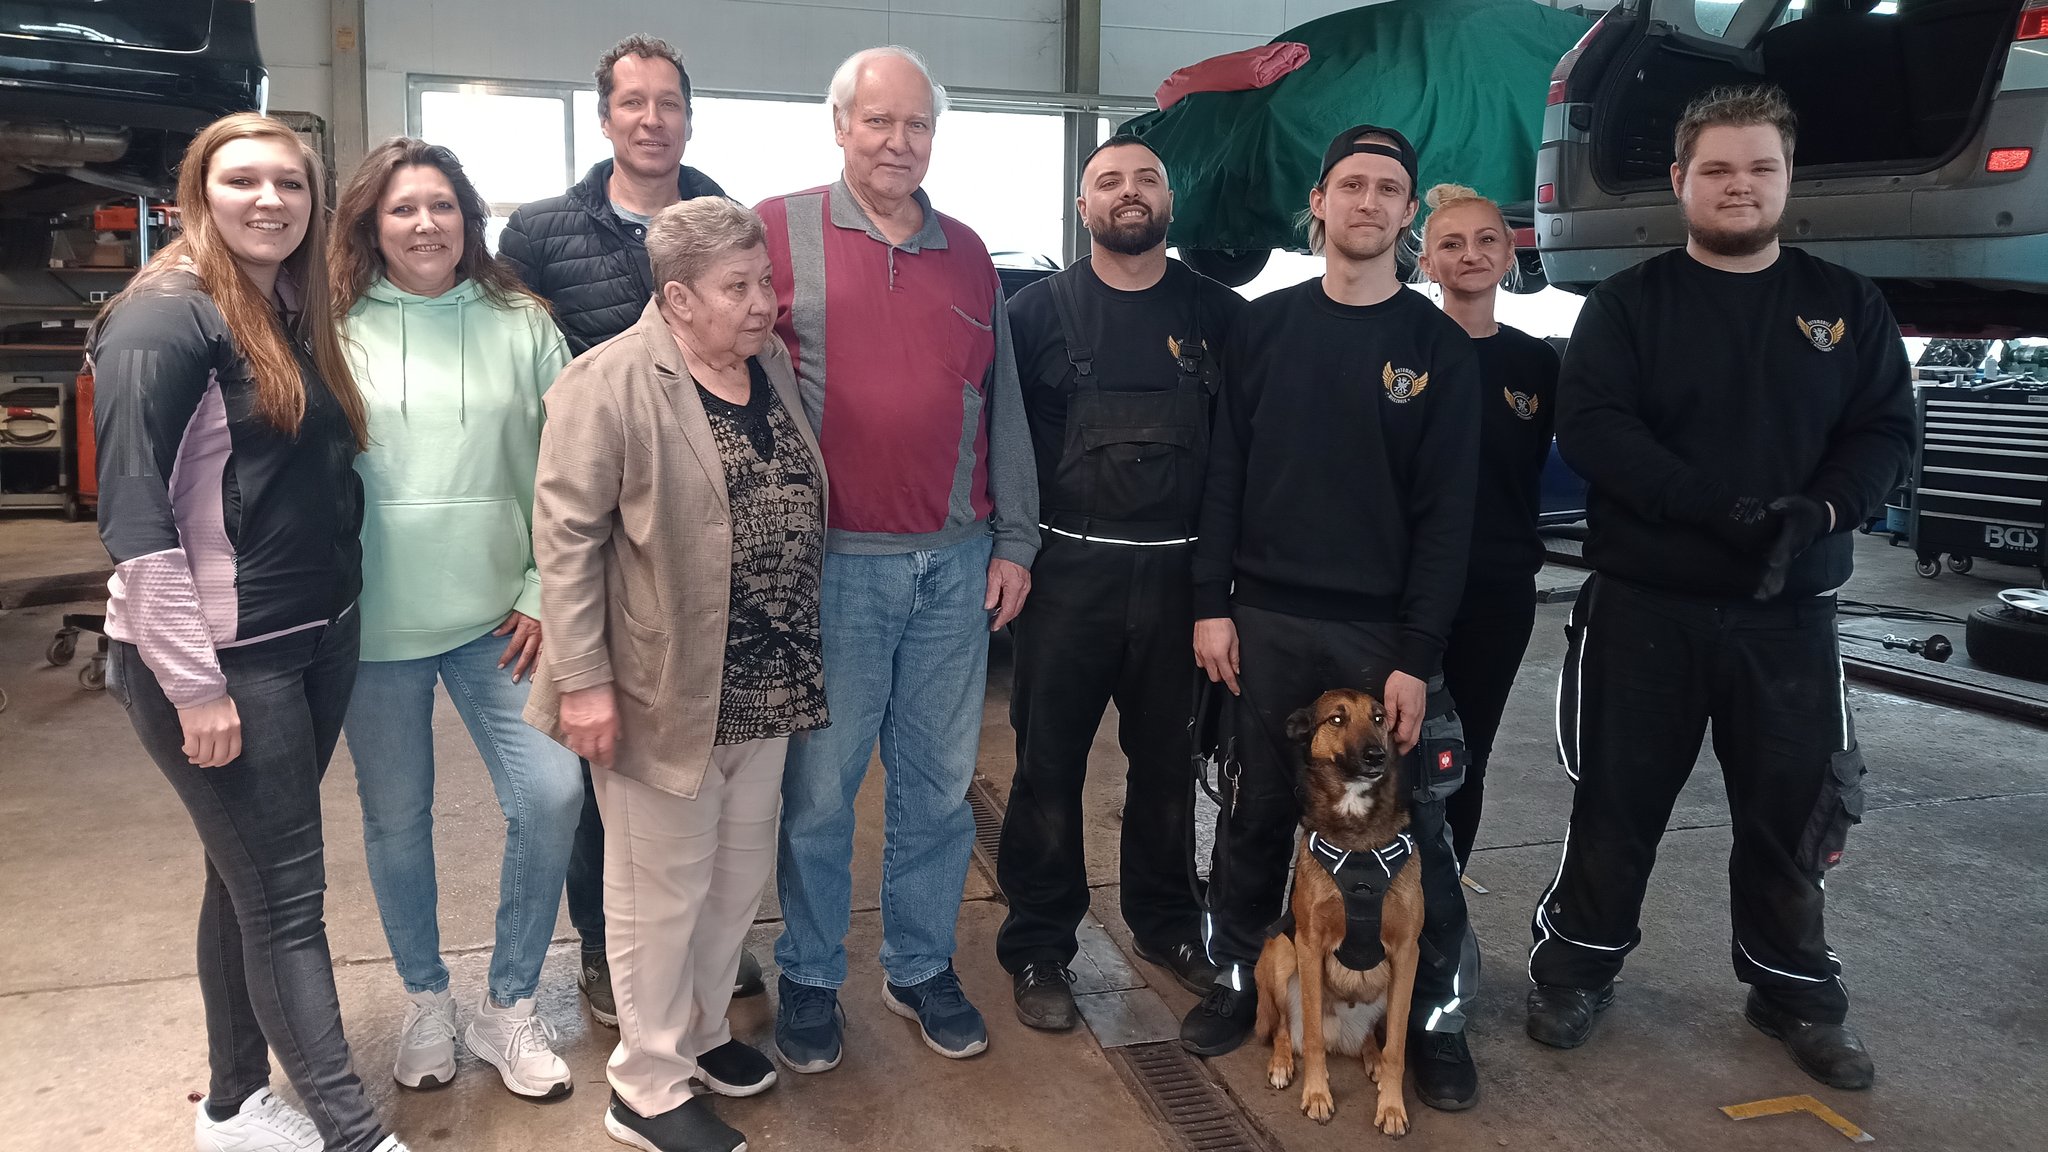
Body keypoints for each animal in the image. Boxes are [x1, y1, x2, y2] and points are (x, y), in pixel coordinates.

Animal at [1245, 684, 1425, 1123]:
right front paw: (1316, 1094)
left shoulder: (1406, 952)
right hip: (1279, 956)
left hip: (1389, 989)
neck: (1357, 835)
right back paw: (1281, 1062)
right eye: (1337, 719)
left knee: (1373, 1040)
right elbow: (1308, 1037)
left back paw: (1371, 1057)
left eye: (1379, 717)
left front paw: (1392, 1106)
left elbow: (1397, 1047)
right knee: (1285, 1030)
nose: (1376, 755)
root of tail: (1340, 1035)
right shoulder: (1309, 945)